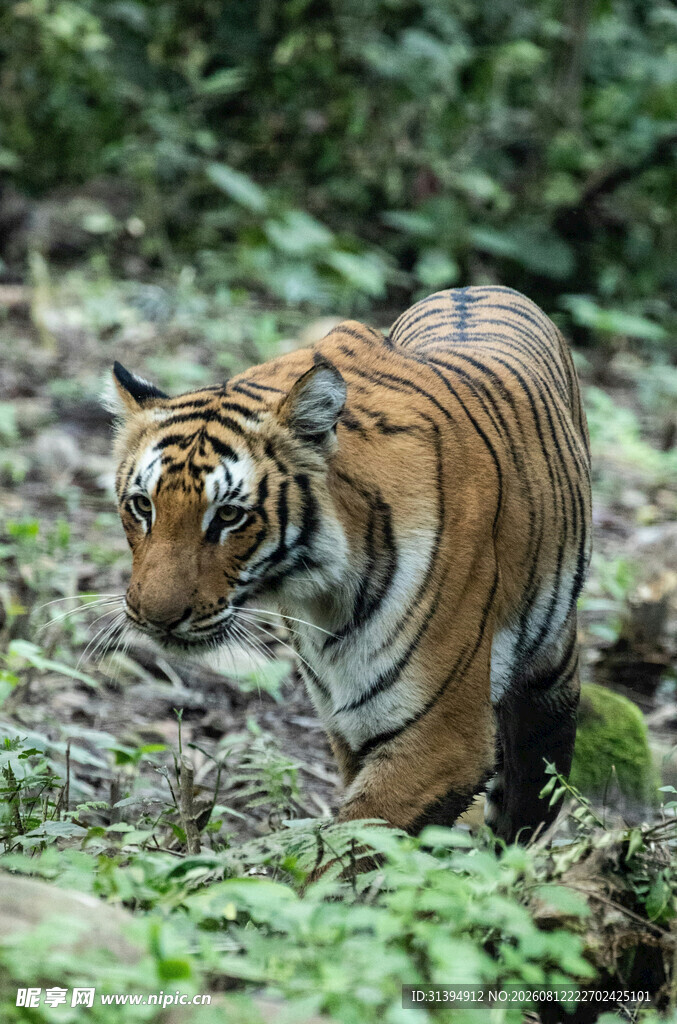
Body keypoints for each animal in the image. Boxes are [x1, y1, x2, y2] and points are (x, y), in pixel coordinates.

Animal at [108, 285, 591, 843]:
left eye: (229, 515)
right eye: (143, 506)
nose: (155, 617)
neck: (323, 595)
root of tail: (481, 287)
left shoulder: (443, 739)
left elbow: (350, 849)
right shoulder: (351, 725)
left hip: (548, 681)